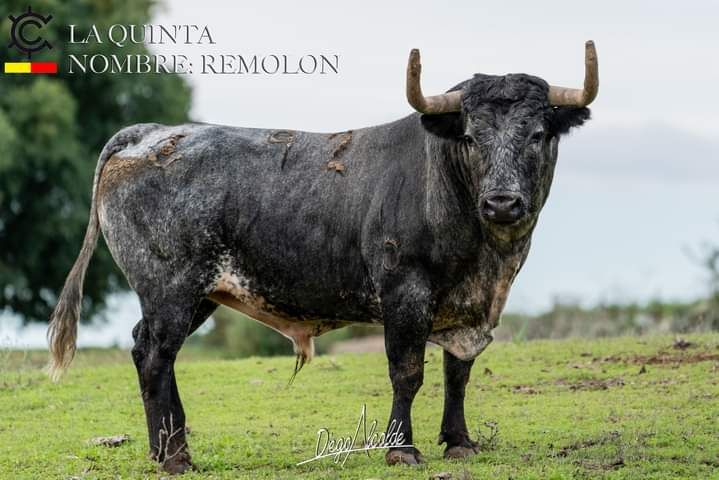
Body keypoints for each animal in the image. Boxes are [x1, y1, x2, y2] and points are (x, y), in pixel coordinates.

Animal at [50, 40, 600, 472]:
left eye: (538, 134)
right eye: (470, 135)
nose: (502, 203)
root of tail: (149, 133)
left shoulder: (465, 306)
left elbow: (457, 372)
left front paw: (460, 441)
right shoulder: (405, 293)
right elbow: (408, 371)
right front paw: (401, 449)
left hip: (198, 293)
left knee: (151, 350)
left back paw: (171, 447)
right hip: (170, 287)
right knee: (154, 355)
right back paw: (173, 458)